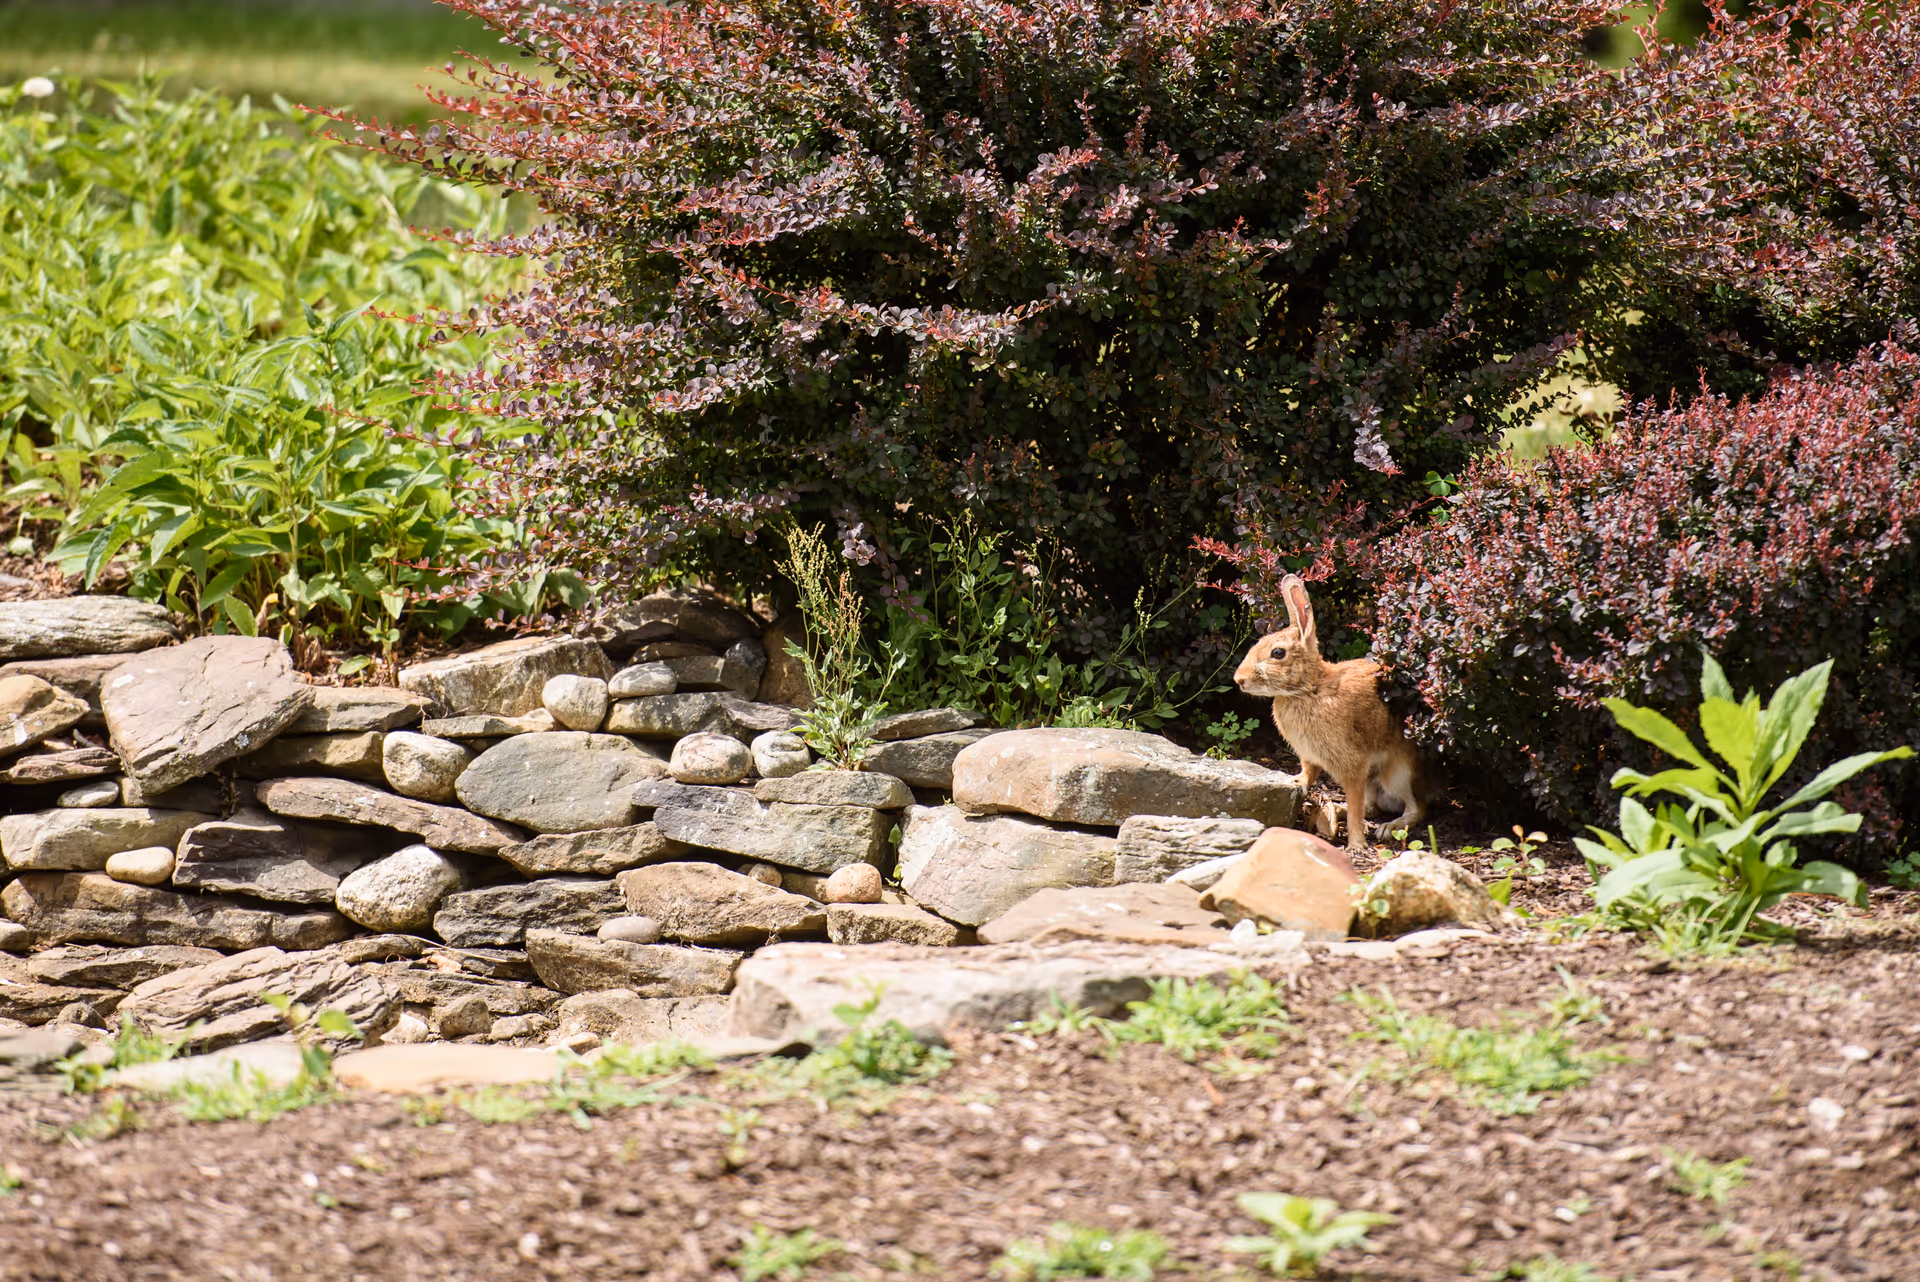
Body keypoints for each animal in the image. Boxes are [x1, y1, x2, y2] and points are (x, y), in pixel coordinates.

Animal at [1233, 573, 1431, 851]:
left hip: (1397, 773)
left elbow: (1357, 810)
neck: (1309, 688)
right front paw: (1296, 782)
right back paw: (1333, 813)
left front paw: (1356, 845)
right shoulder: (1309, 755)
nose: (1239, 679)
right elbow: (1310, 773)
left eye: (1278, 653)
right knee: (1371, 807)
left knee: (1414, 808)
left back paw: (1387, 828)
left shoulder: (1352, 766)